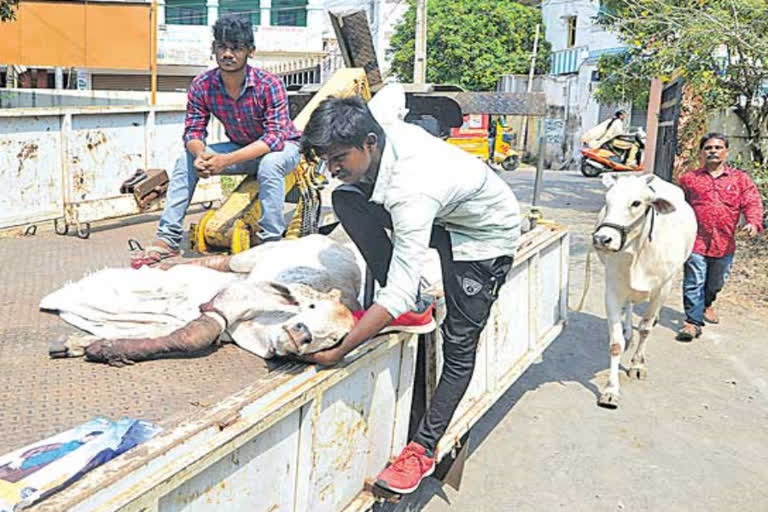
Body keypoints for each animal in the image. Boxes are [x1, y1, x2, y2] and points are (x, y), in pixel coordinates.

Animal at [43, 234, 362, 366]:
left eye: (335, 338)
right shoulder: (237, 296)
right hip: (252, 257)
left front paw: (93, 345)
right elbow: (196, 335)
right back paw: (160, 264)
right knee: (223, 262)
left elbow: (169, 331)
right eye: (311, 306)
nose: (302, 333)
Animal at [592, 175, 700, 408]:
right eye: (607, 200)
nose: (602, 239)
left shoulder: (662, 289)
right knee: (630, 305)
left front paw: (637, 365)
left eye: (636, 203)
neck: (639, 249)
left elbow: (646, 329)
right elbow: (615, 344)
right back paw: (627, 331)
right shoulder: (613, 288)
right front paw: (611, 390)